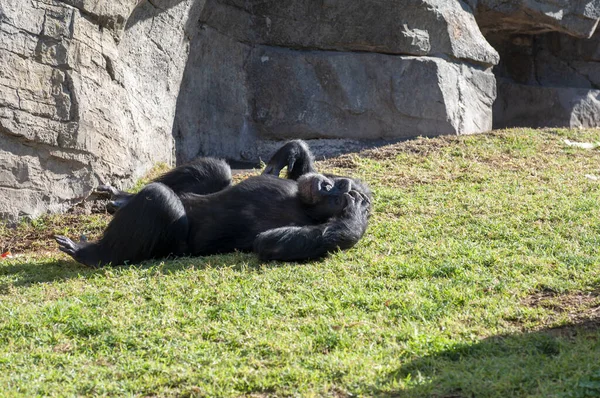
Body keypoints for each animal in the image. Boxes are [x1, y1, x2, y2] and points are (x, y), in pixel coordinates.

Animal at [57, 138, 376, 266]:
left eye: (338, 196)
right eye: (338, 186)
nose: (327, 186)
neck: (305, 205)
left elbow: (270, 243)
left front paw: (354, 216)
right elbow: (300, 172)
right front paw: (288, 154)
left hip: (171, 245)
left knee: (160, 200)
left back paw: (90, 254)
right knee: (216, 168)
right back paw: (121, 199)